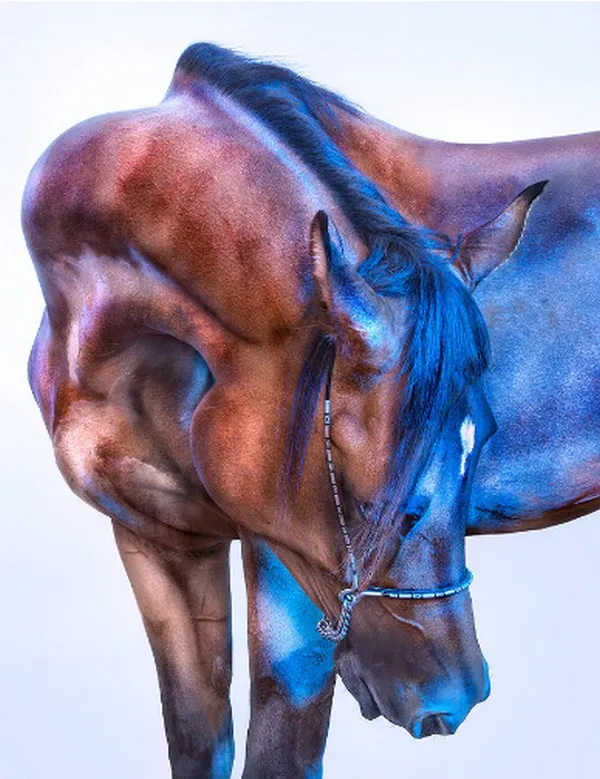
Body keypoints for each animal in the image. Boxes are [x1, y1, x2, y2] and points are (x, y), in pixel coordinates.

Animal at [23, 43, 553, 778]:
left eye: (484, 444)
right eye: (371, 502)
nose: (456, 694)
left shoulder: (278, 561)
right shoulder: (156, 542)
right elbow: (198, 742)